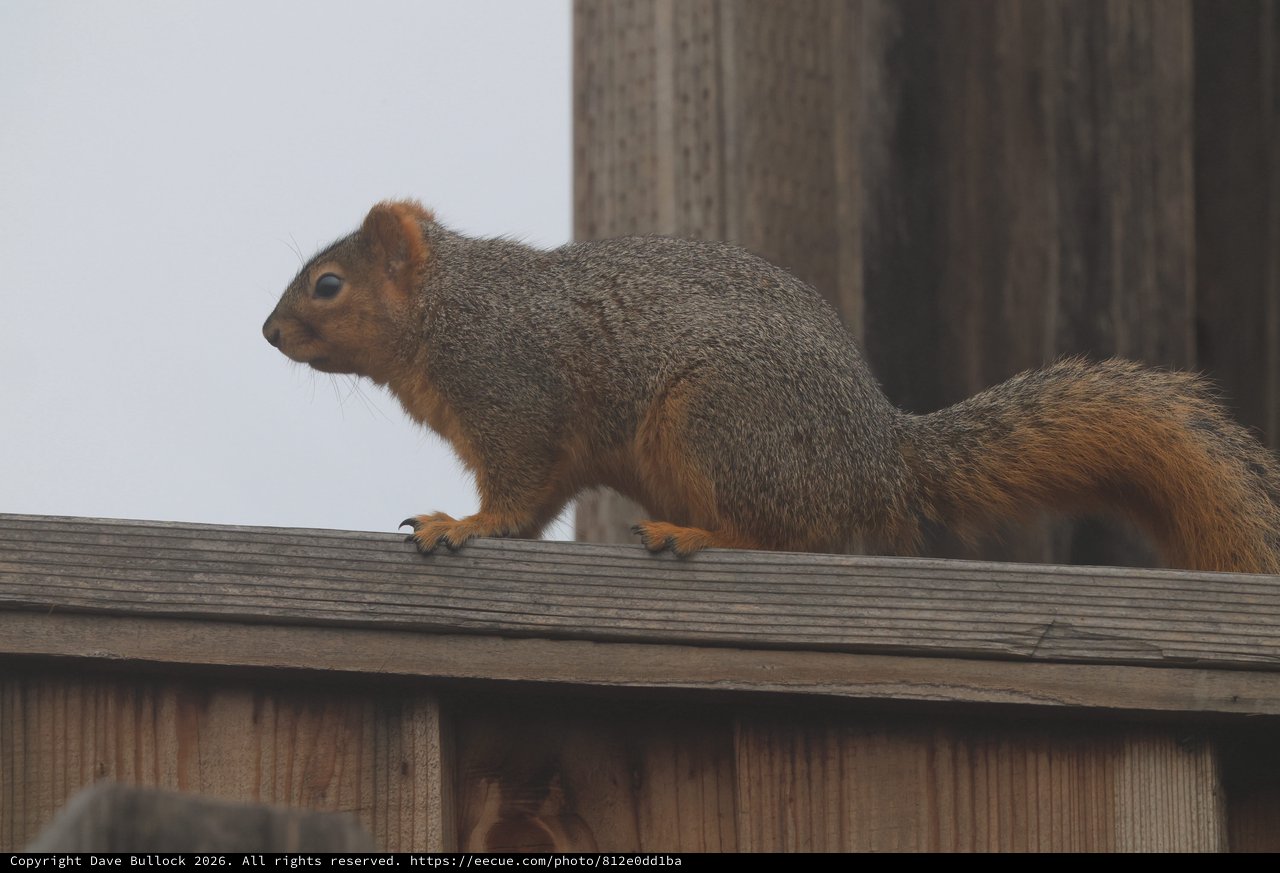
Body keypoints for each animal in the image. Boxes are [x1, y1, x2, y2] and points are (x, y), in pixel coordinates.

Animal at [262, 199, 1280, 575]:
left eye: (328, 285)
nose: (269, 332)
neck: (449, 309)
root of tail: (879, 456)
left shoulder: (512, 390)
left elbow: (516, 492)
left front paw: (459, 524)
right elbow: (542, 502)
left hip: (722, 422)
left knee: (789, 534)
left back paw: (694, 533)